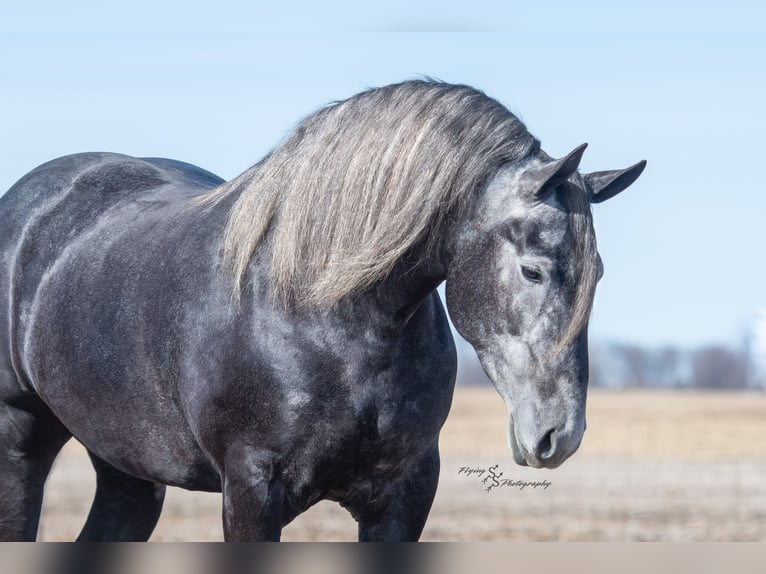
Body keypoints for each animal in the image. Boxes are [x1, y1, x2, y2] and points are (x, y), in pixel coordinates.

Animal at [0, 80, 645, 541]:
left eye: (598, 274)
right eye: (533, 270)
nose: (560, 435)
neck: (333, 326)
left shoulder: (405, 495)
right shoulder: (252, 492)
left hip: (126, 465)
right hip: (21, 442)